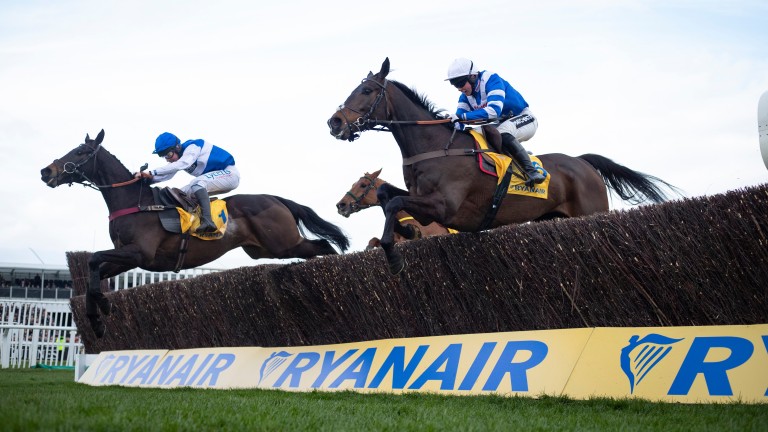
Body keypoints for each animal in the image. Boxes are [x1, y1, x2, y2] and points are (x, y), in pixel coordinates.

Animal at [43, 129, 350, 338]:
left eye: (80, 153)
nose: (46, 171)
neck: (135, 203)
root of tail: (275, 198)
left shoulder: (140, 253)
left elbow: (93, 258)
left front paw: (103, 309)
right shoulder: (127, 258)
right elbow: (93, 275)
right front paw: (97, 319)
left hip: (283, 244)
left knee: (323, 246)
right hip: (265, 249)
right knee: (316, 250)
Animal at [326, 57, 680, 274]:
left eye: (366, 90)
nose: (334, 122)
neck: (434, 147)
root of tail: (581, 162)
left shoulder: (444, 206)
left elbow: (394, 202)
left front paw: (394, 255)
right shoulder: (424, 202)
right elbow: (389, 196)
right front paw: (404, 231)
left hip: (591, 212)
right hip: (551, 217)